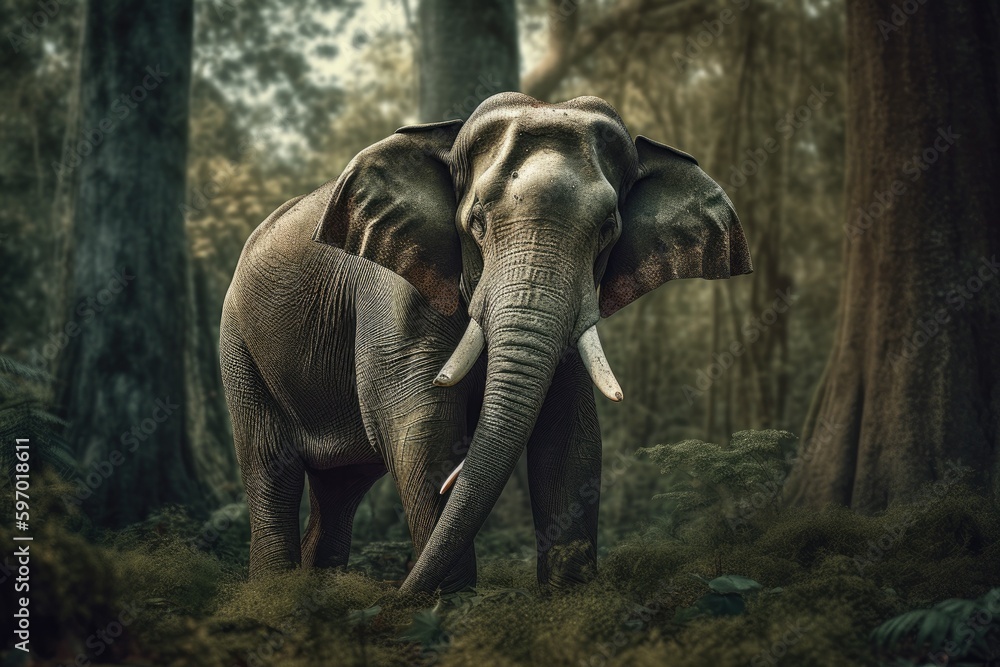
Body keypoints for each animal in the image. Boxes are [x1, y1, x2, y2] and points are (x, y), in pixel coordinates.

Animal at [220, 92, 752, 595]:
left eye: (607, 230)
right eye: (476, 222)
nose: (397, 594)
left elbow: (571, 437)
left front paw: (569, 598)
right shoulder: (394, 297)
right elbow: (420, 430)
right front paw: (446, 603)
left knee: (339, 487)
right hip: (238, 346)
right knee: (271, 470)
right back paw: (273, 593)